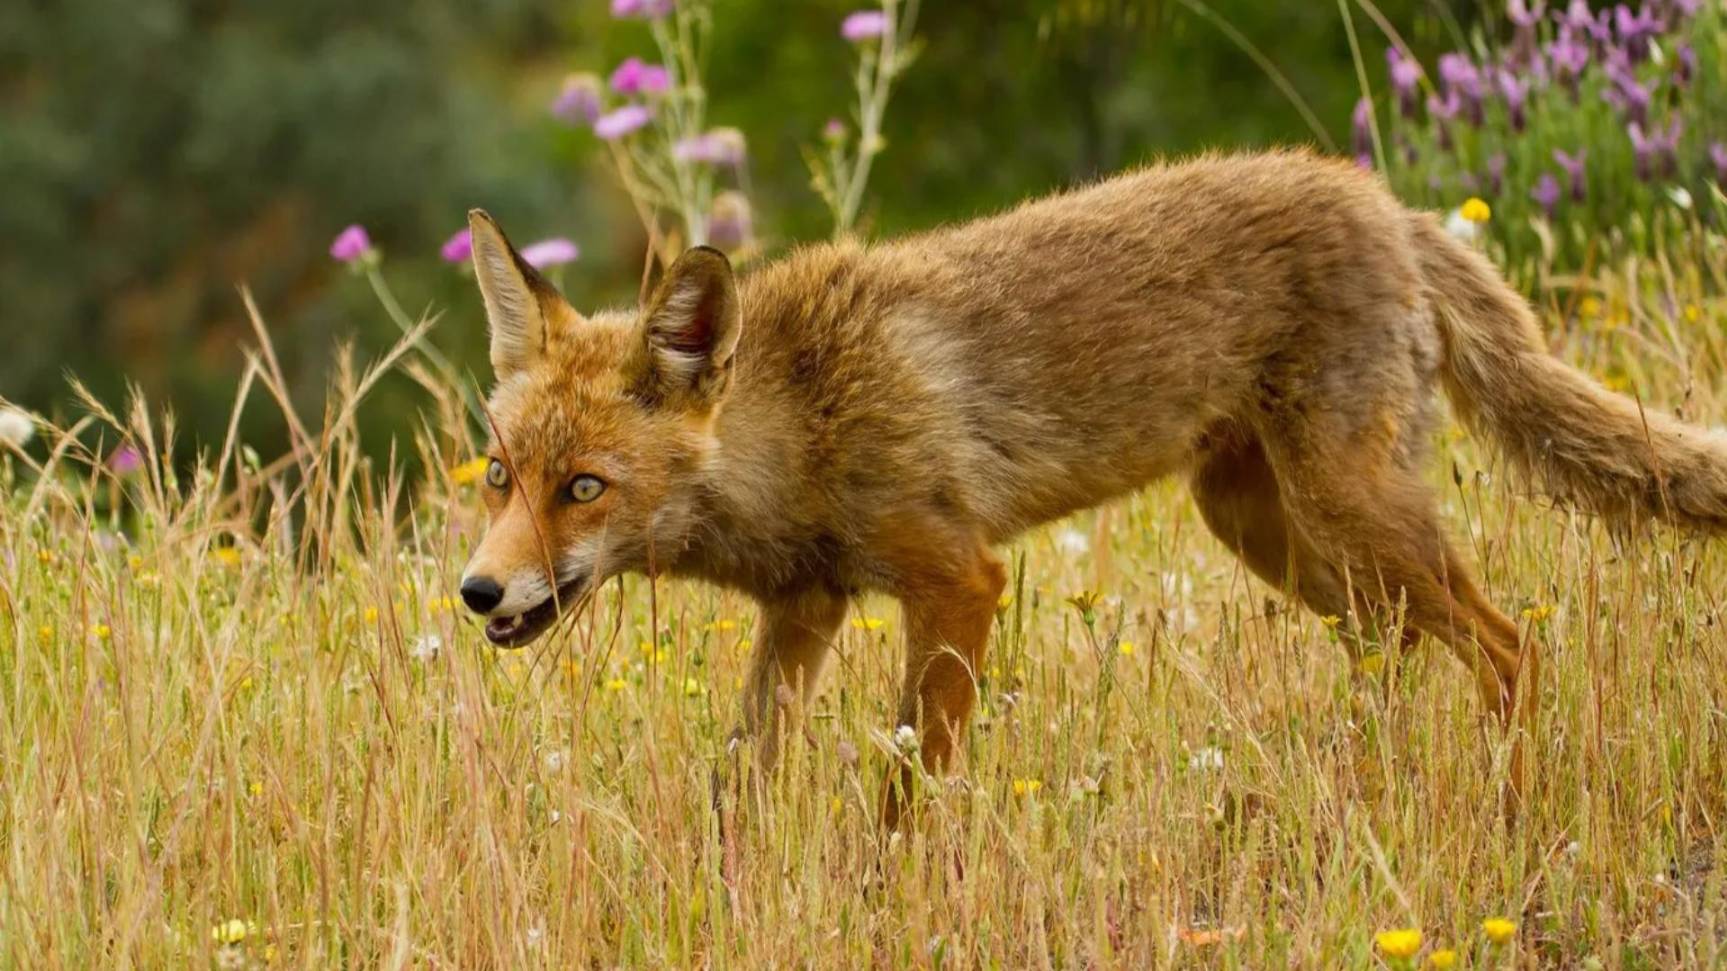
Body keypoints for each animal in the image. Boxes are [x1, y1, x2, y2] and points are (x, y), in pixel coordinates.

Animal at [455, 149, 1727, 815]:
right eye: (502, 475)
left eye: (584, 488)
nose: (473, 592)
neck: (800, 421)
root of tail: (1383, 199)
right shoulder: (804, 607)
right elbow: (743, 778)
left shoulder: (957, 577)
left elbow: (908, 782)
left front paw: (889, 894)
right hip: (1270, 528)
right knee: (1393, 645)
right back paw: (1365, 778)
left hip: (1350, 512)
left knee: (1506, 645)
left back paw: (1509, 802)